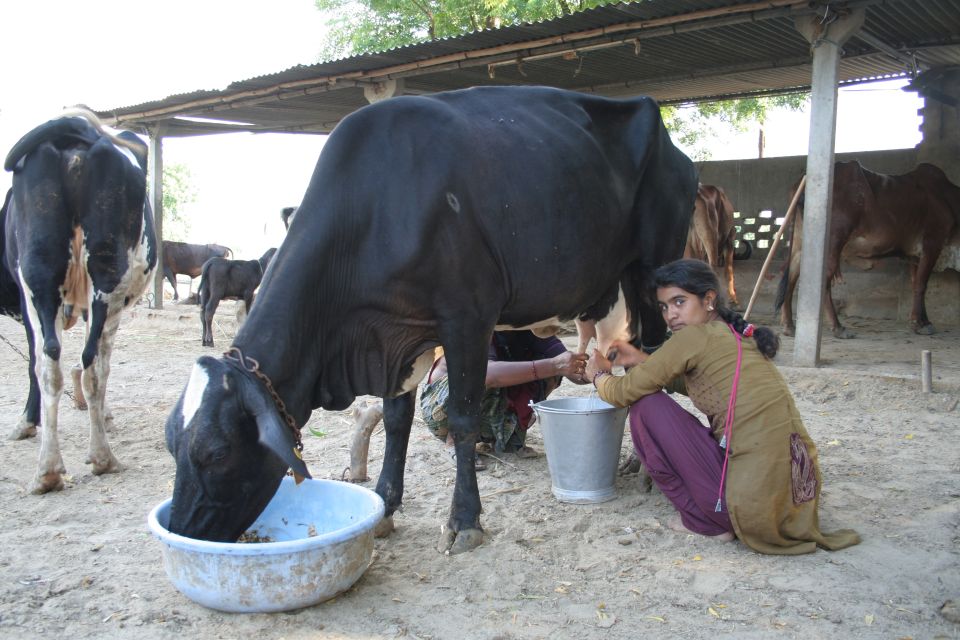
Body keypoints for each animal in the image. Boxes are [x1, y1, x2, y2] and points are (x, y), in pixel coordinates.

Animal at [2, 110, 156, 496]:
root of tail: (74, 124)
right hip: (104, 278)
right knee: (84, 365)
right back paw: (94, 458)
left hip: (41, 277)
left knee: (52, 363)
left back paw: (54, 469)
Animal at [161, 86, 692, 556]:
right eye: (171, 445)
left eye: (216, 454)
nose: (183, 530)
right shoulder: (397, 335)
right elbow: (397, 420)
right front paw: (384, 506)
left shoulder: (467, 317)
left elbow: (462, 416)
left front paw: (465, 522)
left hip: (653, 269)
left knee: (653, 354)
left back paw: (644, 469)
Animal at [776, 160, 956, 338]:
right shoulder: (932, 243)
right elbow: (921, 284)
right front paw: (922, 324)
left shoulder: (914, 255)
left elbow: (915, 283)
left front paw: (920, 321)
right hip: (834, 240)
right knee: (824, 278)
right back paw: (838, 327)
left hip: (800, 241)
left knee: (790, 273)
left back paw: (789, 325)